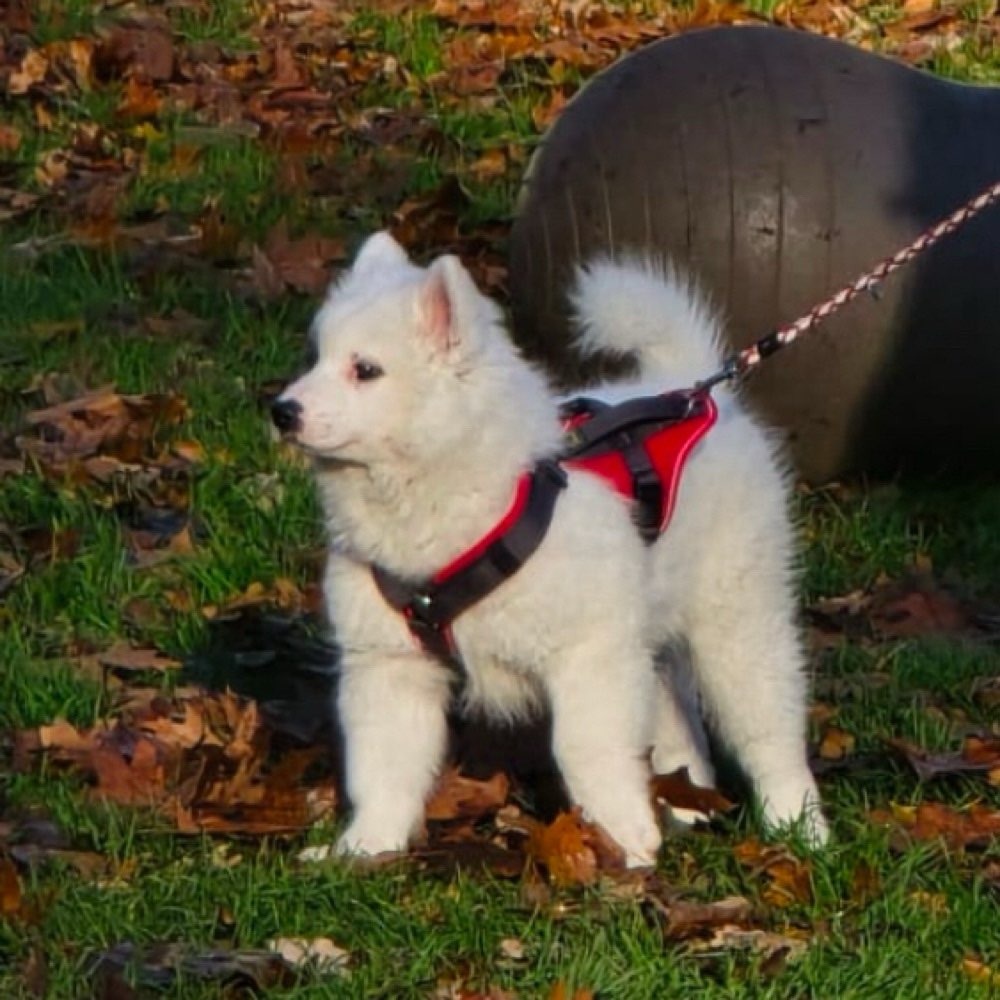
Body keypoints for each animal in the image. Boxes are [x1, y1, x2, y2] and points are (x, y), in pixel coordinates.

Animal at [270, 230, 824, 864]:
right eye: (314, 358)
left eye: (366, 370)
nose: (281, 411)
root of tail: (691, 385)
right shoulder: (389, 664)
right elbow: (383, 765)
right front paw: (366, 848)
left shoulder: (589, 656)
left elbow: (588, 752)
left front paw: (624, 844)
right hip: (651, 633)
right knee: (678, 718)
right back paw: (689, 805)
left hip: (738, 624)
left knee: (769, 728)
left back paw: (800, 828)